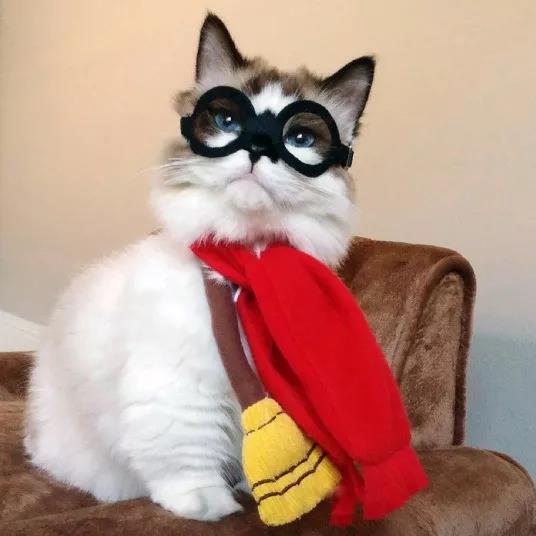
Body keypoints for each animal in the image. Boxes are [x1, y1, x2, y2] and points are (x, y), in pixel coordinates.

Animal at [24, 13, 375, 522]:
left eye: (300, 139)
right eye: (229, 121)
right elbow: (188, 457)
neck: (245, 268)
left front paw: (251, 491)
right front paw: (208, 505)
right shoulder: (182, 388)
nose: (259, 145)